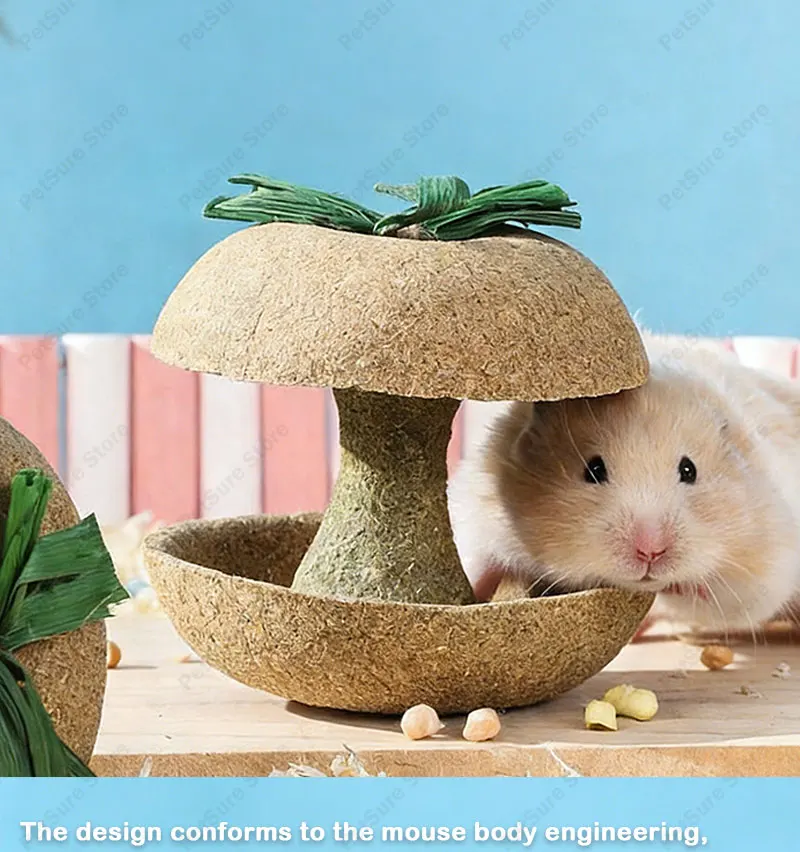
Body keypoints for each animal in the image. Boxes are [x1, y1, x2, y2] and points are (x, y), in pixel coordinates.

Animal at [448, 331, 800, 635]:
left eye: (689, 470)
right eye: (593, 470)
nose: (650, 552)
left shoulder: (767, 566)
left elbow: (726, 599)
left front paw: (680, 585)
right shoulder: (480, 513)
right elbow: (479, 563)